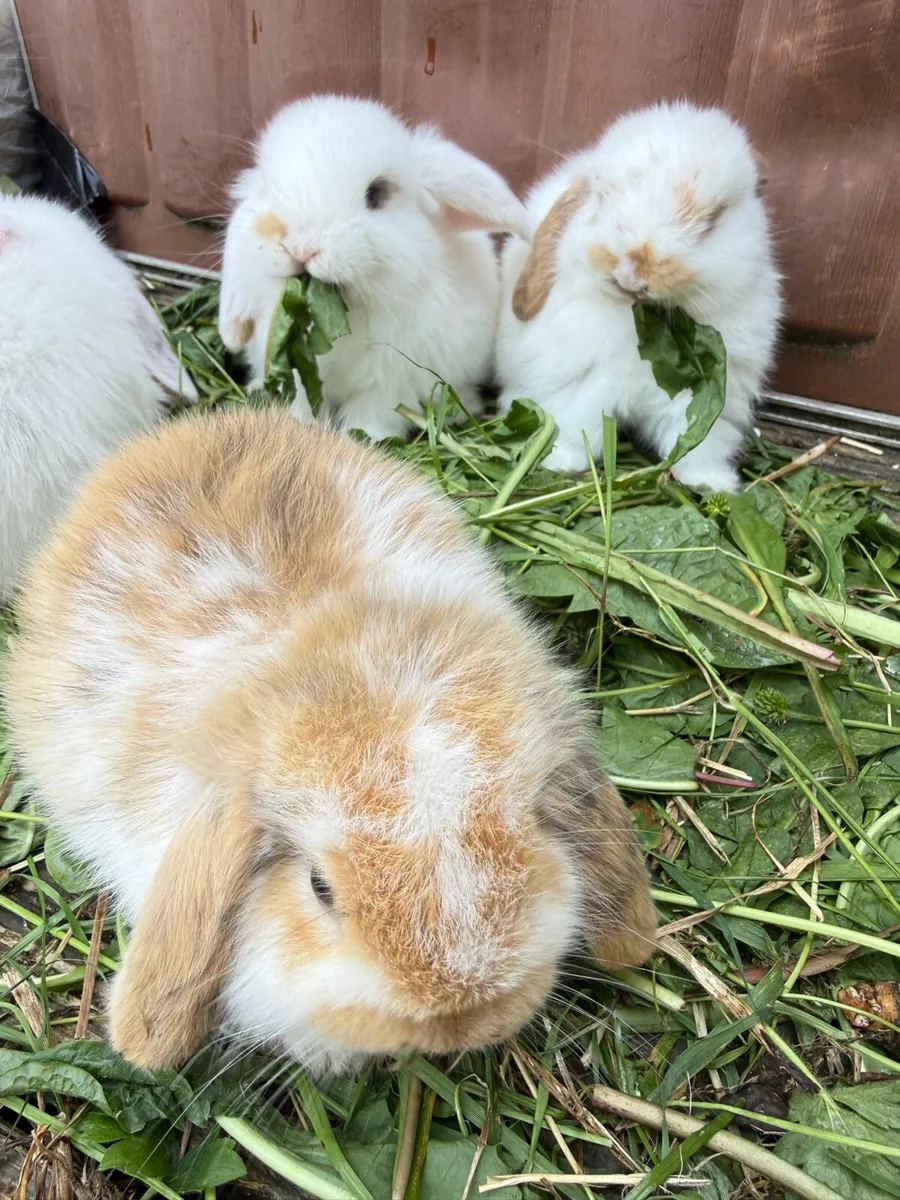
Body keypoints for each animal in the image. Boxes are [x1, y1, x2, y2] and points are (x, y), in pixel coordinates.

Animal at [218, 94, 531, 441]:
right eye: (265, 185)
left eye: (377, 193)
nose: (300, 247)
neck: (350, 311)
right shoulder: (301, 376)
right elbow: (303, 403)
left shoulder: (388, 385)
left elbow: (370, 418)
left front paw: (359, 439)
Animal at [495, 101, 782, 492]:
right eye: (601, 198)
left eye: (712, 221)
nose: (632, 273)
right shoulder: (580, 384)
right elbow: (576, 428)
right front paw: (561, 463)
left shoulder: (708, 399)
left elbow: (699, 446)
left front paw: (711, 483)